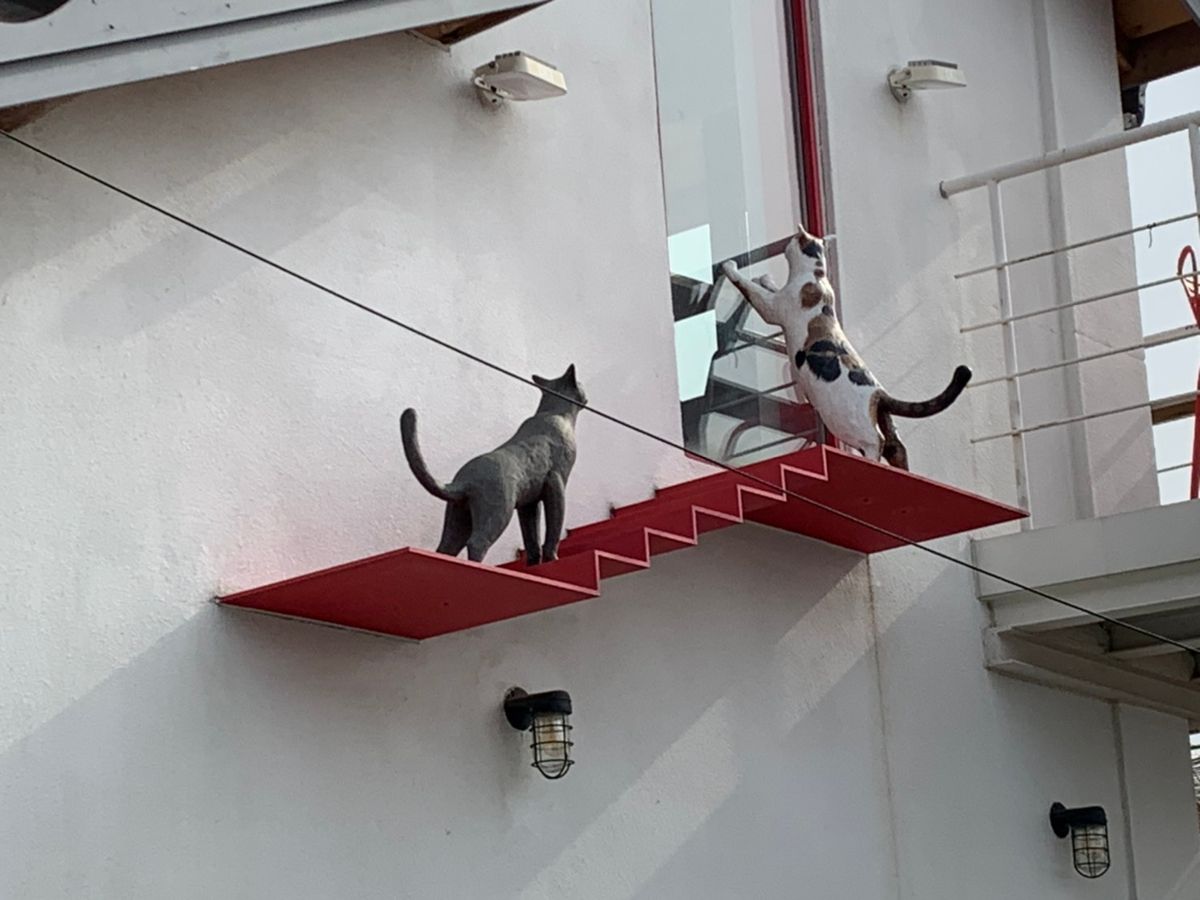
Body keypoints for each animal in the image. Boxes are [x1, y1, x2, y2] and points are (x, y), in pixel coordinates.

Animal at [400, 364, 586, 565]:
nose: (585, 396)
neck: (554, 413)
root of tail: (465, 481)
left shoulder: (529, 501)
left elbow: (531, 536)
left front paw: (533, 563)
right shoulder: (556, 482)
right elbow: (554, 525)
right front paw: (552, 558)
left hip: (459, 516)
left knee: (446, 548)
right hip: (498, 511)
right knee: (477, 542)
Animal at [721, 225, 970, 470]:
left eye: (793, 239)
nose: (787, 240)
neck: (817, 275)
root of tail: (879, 392)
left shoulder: (773, 307)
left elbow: (748, 287)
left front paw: (730, 266)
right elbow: (771, 287)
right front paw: (767, 278)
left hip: (845, 421)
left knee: (877, 441)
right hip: (882, 422)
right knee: (897, 447)